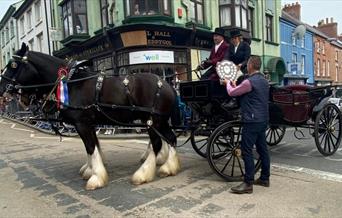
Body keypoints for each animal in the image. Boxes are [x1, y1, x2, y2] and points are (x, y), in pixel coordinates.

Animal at [0, 42, 180, 189]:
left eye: (13, 64)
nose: (1, 89)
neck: (71, 83)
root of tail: (167, 84)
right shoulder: (89, 124)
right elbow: (94, 146)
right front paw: (90, 170)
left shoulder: (82, 123)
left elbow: (90, 146)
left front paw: (96, 178)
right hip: (158, 120)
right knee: (169, 138)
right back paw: (168, 165)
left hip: (153, 120)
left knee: (159, 142)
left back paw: (145, 173)